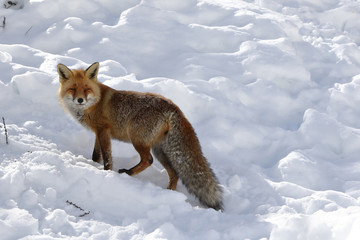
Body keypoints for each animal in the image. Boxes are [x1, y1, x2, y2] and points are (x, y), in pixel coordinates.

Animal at [57, 62, 224, 210]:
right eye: (73, 89)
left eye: (86, 89)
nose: (80, 100)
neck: (95, 102)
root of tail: (174, 107)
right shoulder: (98, 133)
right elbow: (96, 155)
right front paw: (94, 165)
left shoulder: (103, 131)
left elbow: (107, 157)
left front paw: (106, 172)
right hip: (159, 149)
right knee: (174, 173)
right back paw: (169, 193)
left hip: (137, 139)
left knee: (148, 160)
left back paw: (128, 173)